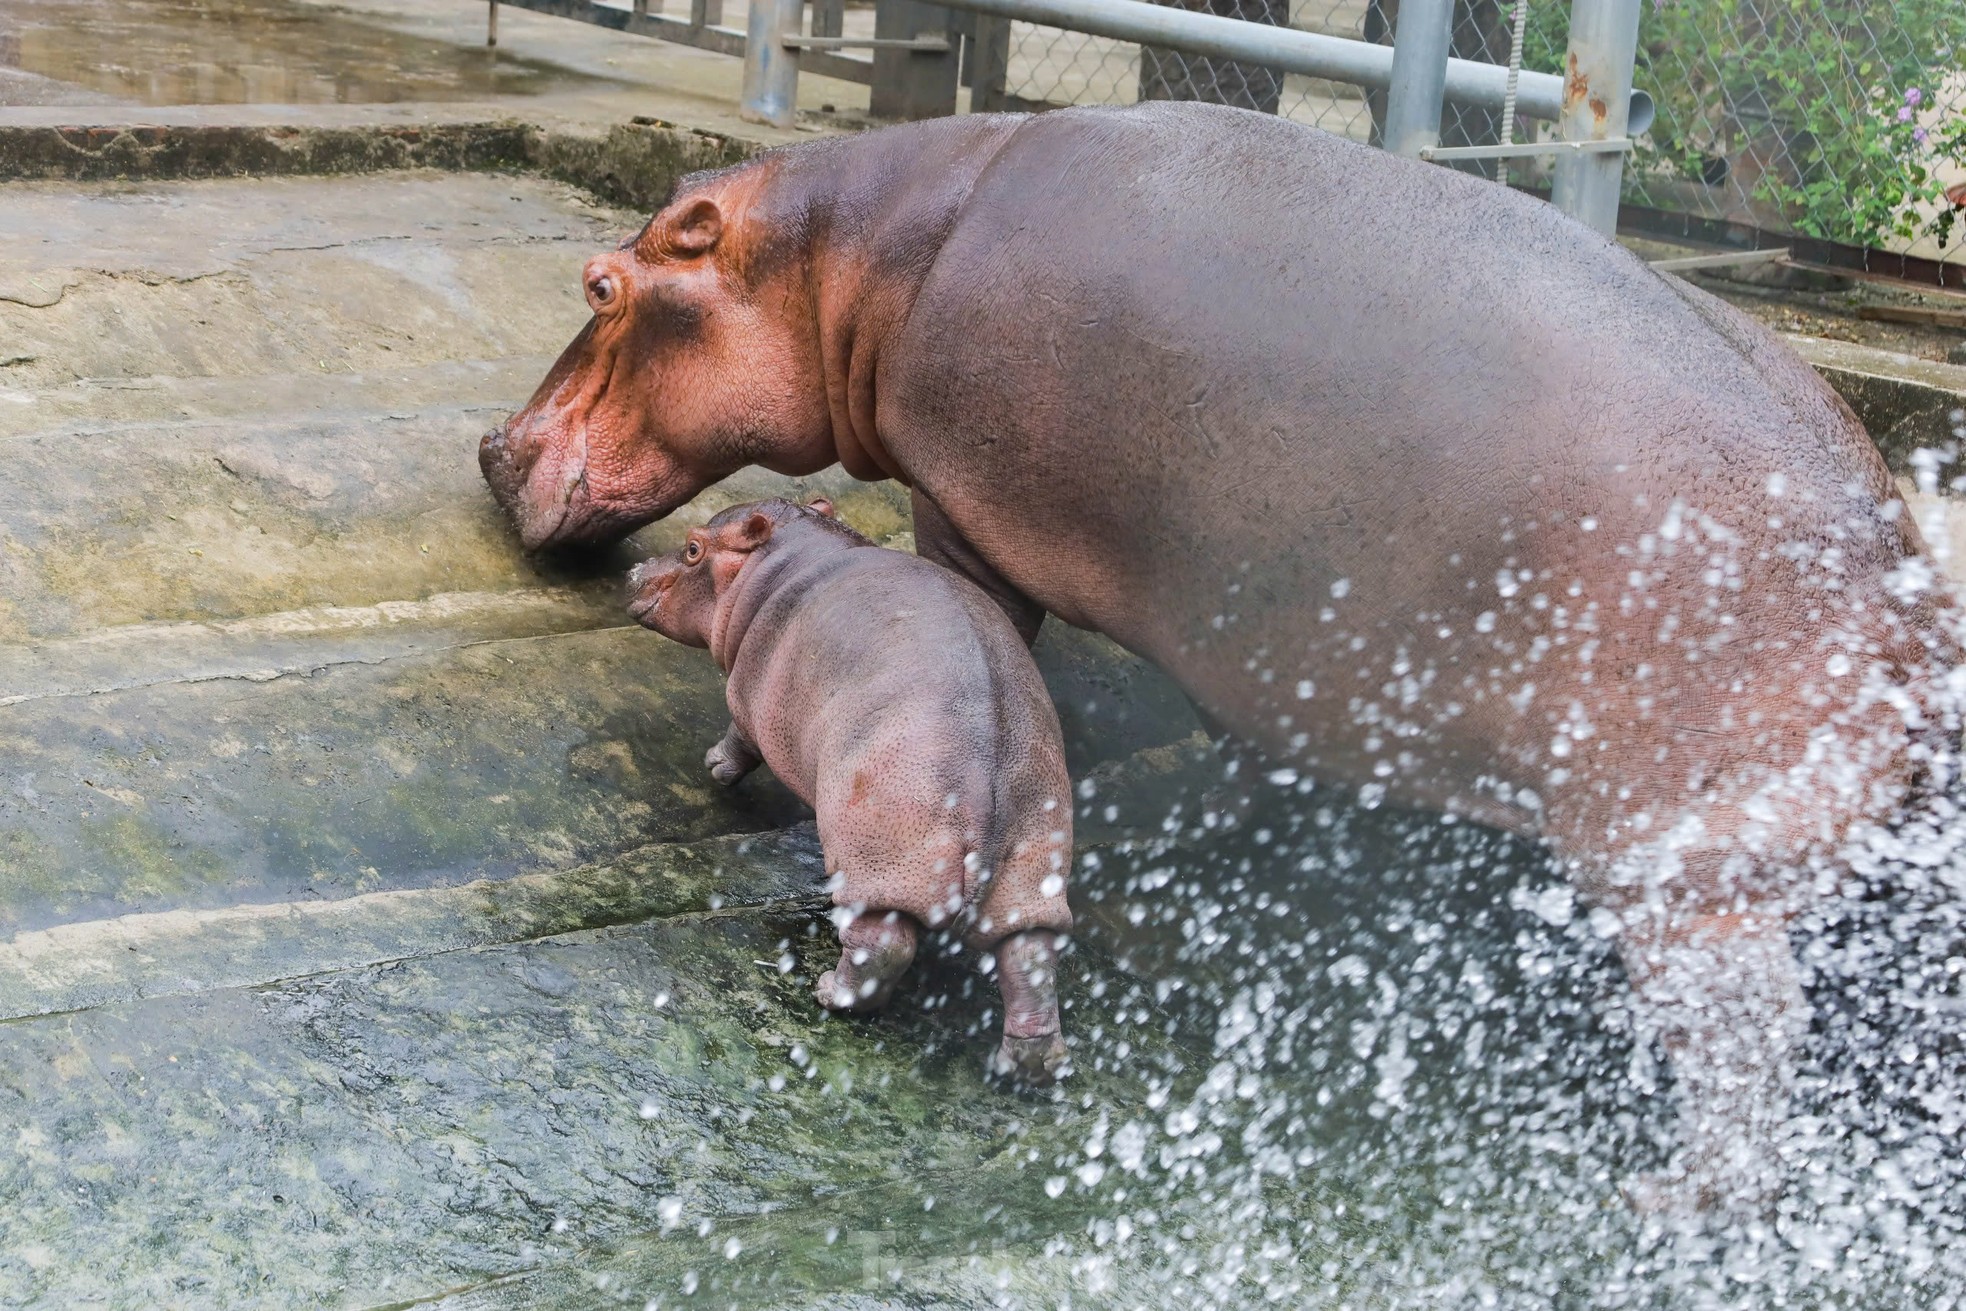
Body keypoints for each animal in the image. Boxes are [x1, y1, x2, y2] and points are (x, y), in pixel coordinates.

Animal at [629, 497, 1077, 1084]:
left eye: (692, 548)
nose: (633, 570)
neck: (785, 555)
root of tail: (989, 793)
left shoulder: (748, 699)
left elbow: (739, 737)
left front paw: (714, 767)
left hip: (878, 860)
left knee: (882, 945)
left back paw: (830, 994)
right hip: (1032, 864)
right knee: (1030, 960)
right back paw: (1025, 1068)